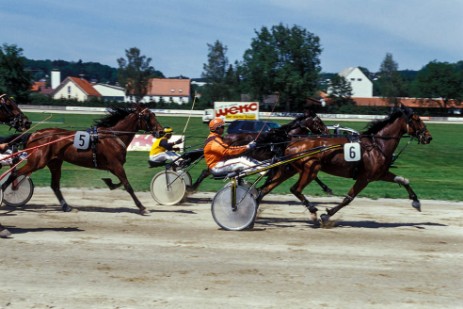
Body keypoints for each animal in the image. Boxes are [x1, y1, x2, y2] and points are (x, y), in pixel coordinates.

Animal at [1, 104, 164, 217]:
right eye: (148, 116)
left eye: (154, 114)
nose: (161, 131)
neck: (114, 137)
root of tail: (32, 134)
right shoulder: (116, 165)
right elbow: (128, 185)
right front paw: (142, 208)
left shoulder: (114, 167)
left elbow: (121, 183)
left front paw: (110, 183)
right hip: (37, 162)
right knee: (15, 174)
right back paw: (4, 191)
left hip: (54, 163)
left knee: (54, 185)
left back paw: (67, 207)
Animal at [260, 104, 434, 223]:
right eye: (417, 119)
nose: (428, 137)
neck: (376, 144)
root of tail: (291, 142)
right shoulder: (365, 177)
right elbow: (348, 198)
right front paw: (326, 214)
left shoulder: (380, 174)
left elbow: (404, 180)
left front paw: (416, 201)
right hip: (311, 169)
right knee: (295, 189)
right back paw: (312, 209)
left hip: (289, 169)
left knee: (264, 189)